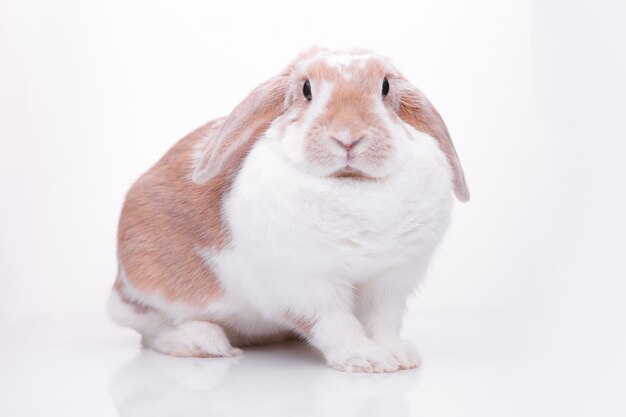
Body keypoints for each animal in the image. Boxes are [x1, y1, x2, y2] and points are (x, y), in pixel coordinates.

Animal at [108, 47, 468, 372]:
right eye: (306, 90)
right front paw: (366, 359)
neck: (350, 185)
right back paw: (201, 342)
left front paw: (399, 357)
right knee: (150, 327)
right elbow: (336, 324)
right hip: (148, 284)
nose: (347, 138)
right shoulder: (306, 285)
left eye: (385, 88)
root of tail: (117, 287)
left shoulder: (389, 282)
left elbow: (382, 323)